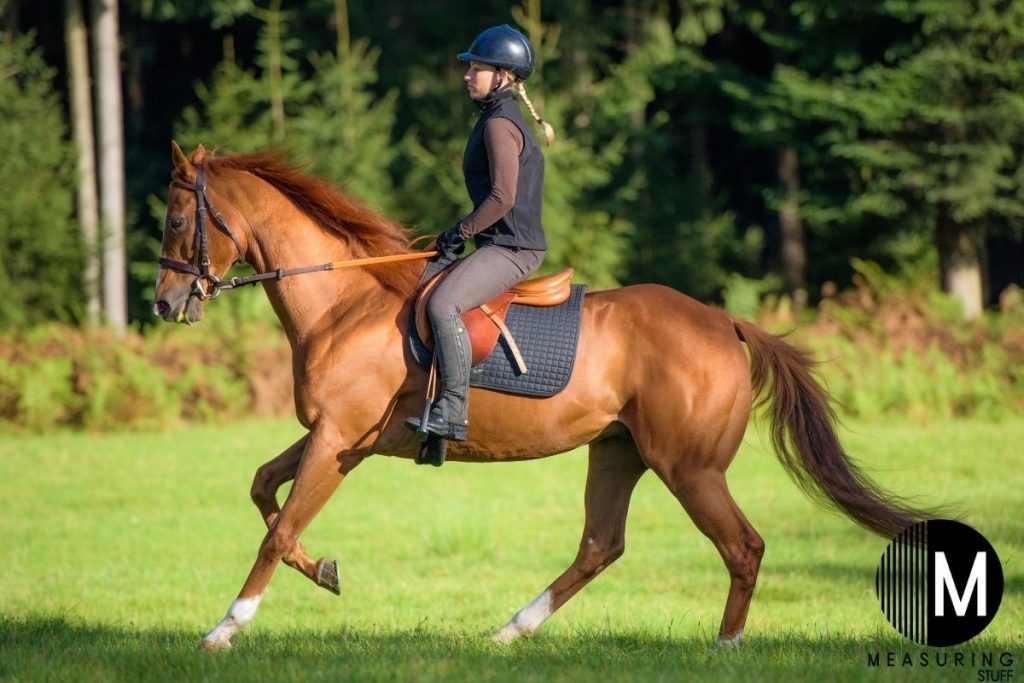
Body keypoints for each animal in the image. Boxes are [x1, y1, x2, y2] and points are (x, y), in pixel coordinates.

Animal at [154, 142, 933, 651]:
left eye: (175, 220)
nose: (164, 304)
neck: (345, 302)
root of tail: (724, 321)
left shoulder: (339, 439)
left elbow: (276, 526)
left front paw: (226, 627)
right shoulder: (339, 438)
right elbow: (264, 490)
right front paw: (324, 571)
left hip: (690, 468)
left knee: (742, 547)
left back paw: (725, 647)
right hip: (619, 452)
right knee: (600, 545)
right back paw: (512, 629)